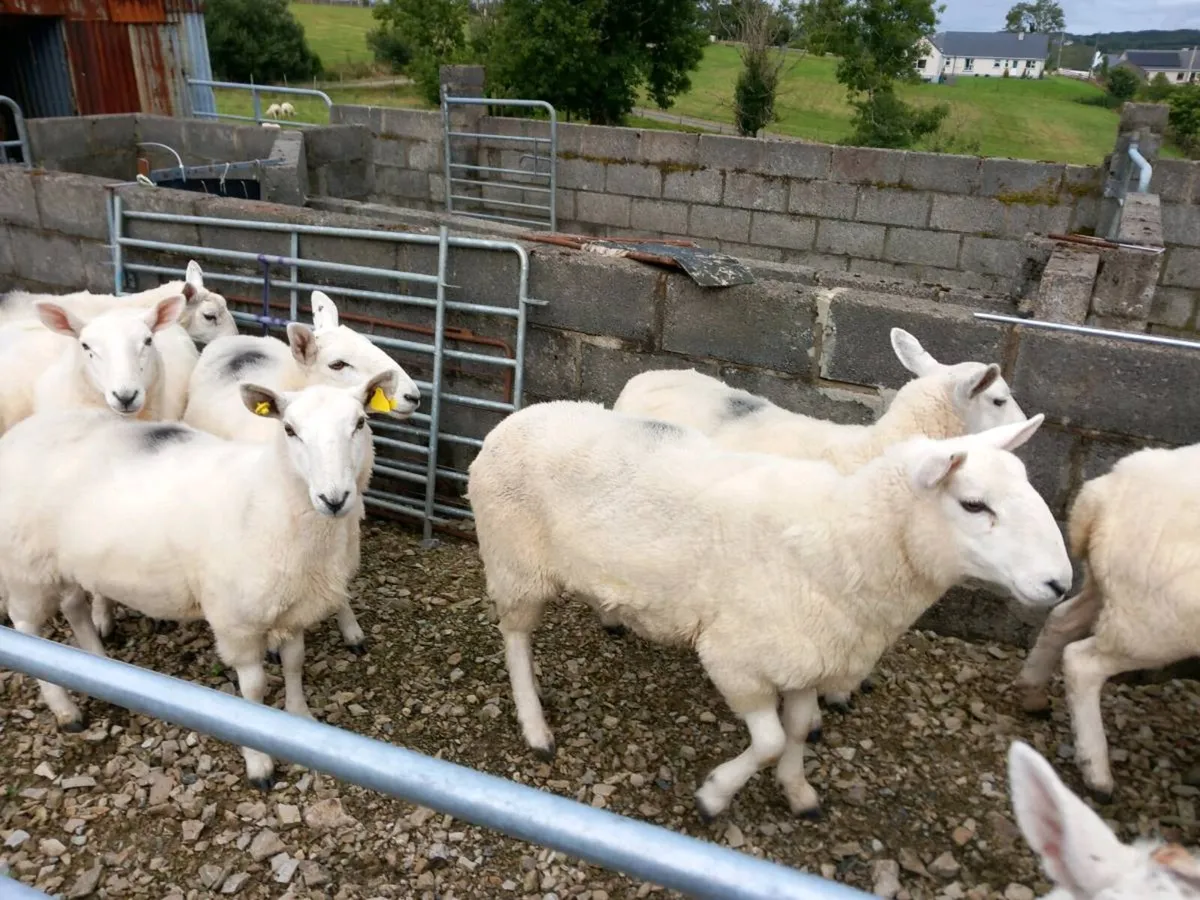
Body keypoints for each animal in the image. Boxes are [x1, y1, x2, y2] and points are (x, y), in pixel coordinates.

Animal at [0, 372, 399, 788]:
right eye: (289, 429)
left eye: (360, 423)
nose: (333, 499)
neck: (268, 497)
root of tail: (20, 433)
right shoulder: (236, 621)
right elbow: (253, 690)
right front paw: (259, 762)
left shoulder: (293, 608)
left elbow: (294, 664)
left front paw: (300, 718)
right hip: (25, 565)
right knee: (28, 630)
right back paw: (65, 710)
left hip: (62, 564)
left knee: (74, 606)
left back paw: (97, 665)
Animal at [466, 400, 1071, 819]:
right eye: (973, 504)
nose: (1061, 583)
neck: (845, 537)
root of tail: (519, 417)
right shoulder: (736, 658)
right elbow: (771, 739)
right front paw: (714, 796)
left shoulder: (808, 656)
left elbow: (798, 730)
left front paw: (799, 791)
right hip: (515, 562)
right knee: (515, 641)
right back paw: (535, 726)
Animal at [1012, 442, 1200, 803]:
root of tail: (1105, 494)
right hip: (1158, 621)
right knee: (1081, 663)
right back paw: (1096, 773)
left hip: (1112, 590)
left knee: (1062, 619)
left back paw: (1032, 691)